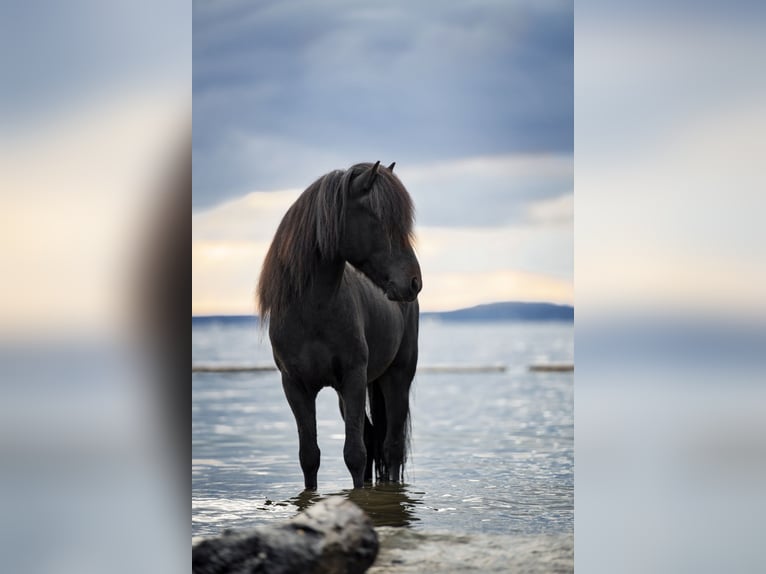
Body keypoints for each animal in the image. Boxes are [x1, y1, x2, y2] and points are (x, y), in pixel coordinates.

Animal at [256, 161, 422, 489]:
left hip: (398, 377)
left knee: (392, 446)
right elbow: (310, 455)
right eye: (379, 219)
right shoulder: (295, 386)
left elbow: (354, 454)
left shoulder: (353, 377)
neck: (312, 312)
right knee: (373, 437)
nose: (414, 282)